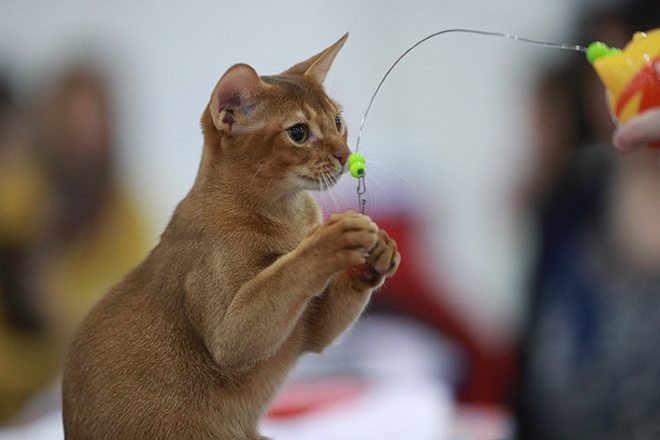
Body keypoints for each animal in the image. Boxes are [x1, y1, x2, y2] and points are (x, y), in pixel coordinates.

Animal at [62, 33, 400, 440]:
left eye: (337, 120)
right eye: (298, 133)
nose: (344, 153)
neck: (285, 216)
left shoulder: (308, 329)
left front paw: (380, 251)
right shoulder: (230, 335)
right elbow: (286, 273)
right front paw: (331, 238)